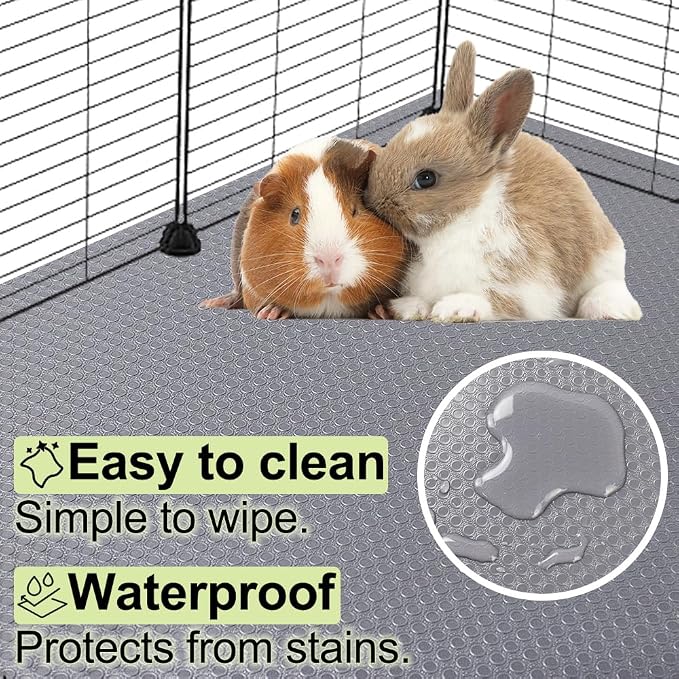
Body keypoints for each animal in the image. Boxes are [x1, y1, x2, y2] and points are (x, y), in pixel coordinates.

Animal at [364, 41, 642, 323]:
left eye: (426, 178)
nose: (372, 199)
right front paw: (407, 308)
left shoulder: (525, 287)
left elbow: (497, 302)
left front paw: (455, 309)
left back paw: (610, 308)